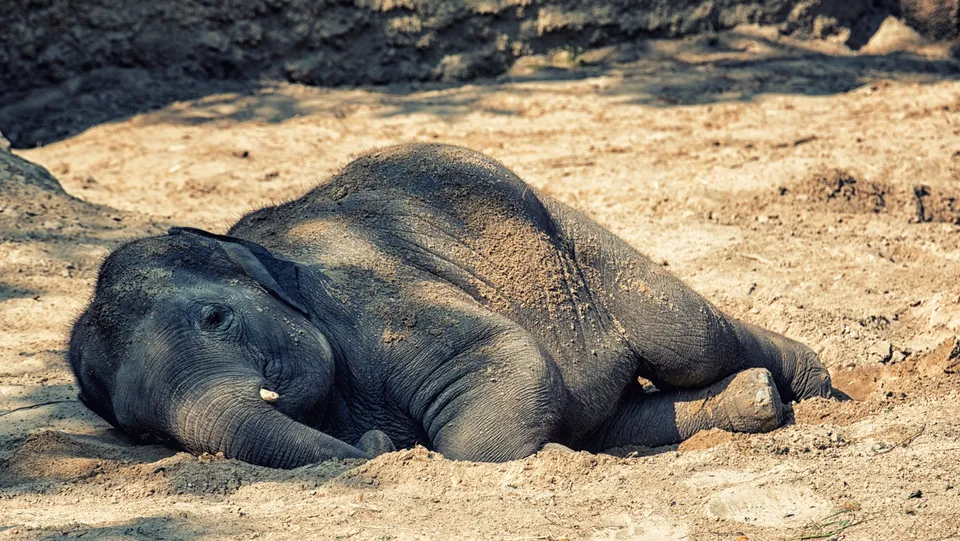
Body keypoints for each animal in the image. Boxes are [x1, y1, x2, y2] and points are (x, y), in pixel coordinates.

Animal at [68, 143, 831, 468]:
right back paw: (754, 401)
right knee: (611, 414)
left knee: (690, 338)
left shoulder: (373, 300)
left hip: (566, 229)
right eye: (139, 431)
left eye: (215, 318)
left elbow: (502, 361)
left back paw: (812, 384)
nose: (372, 448)